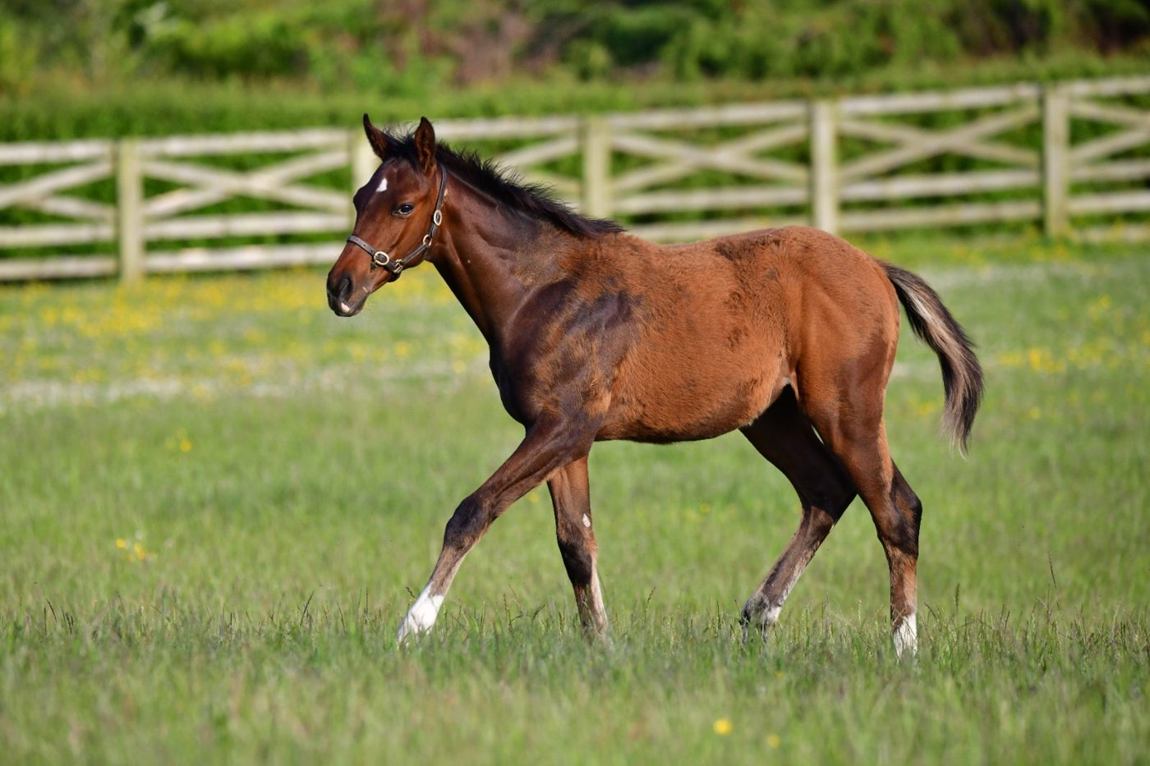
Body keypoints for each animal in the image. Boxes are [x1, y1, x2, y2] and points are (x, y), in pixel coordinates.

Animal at [326, 115, 983, 657]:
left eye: (404, 206)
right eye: (360, 198)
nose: (340, 288)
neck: (544, 289)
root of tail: (876, 267)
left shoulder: (561, 427)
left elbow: (472, 510)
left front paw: (413, 626)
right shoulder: (565, 438)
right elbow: (576, 545)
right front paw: (602, 648)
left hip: (847, 410)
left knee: (896, 510)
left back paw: (903, 650)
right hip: (773, 418)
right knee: (828, 491)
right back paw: (758, 615)